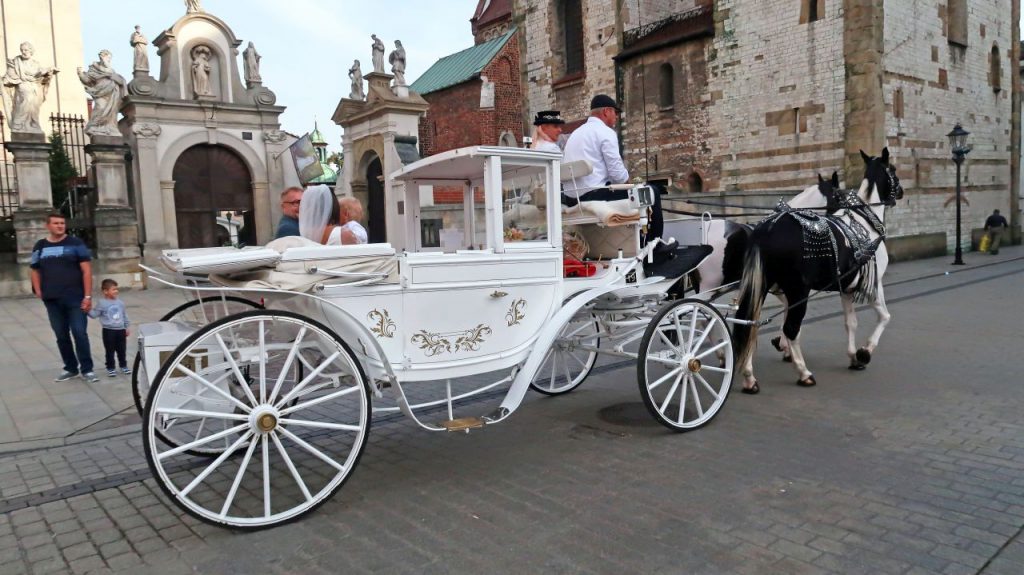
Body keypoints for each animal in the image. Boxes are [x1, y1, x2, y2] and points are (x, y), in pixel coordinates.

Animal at [729, 147, 905, 390]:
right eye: (894, 170)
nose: (902, 192)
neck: (865, 223)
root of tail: (768, 228)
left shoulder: (846, 287)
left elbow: (850, 323)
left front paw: (853, 357)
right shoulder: (874, 285)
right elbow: (885, 317)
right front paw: (865, 352)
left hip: (762, 285)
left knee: (749, 322)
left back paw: (749, 376)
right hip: (797, 290)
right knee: (790, 328)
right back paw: (803, 373)